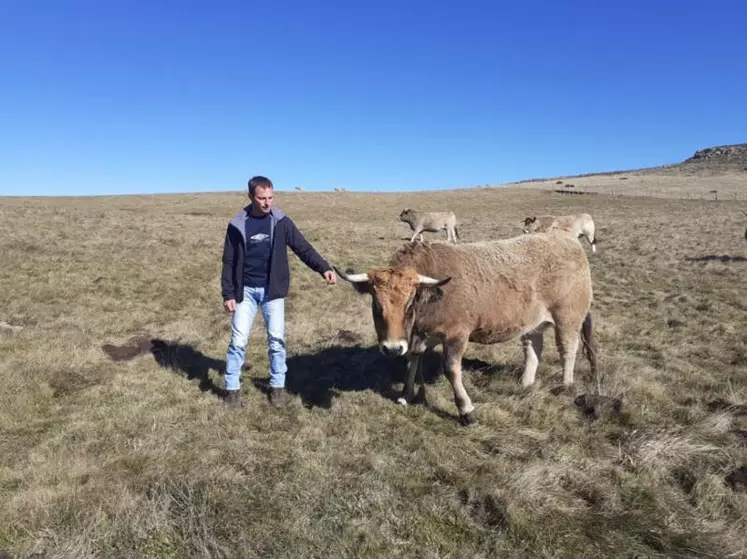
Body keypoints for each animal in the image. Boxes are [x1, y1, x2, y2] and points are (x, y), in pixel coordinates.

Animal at [336, 235, 600, 424]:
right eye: (376, 304)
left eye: (410, 302)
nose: (391, 348)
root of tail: (568, 241)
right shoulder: (421, 335)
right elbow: (412, 359)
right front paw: (405, 394)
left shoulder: (456, 335)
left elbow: (451, 370)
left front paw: (466, 410)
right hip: (532, 323)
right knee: (533, 349)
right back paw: (526, 383)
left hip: (568, 317)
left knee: (567, 350)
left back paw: (566, 384)